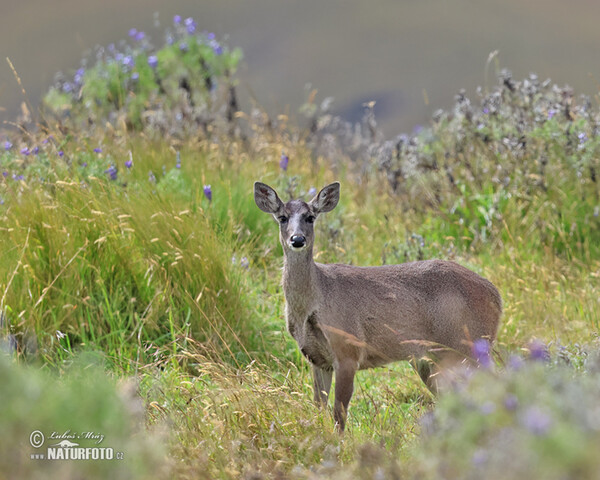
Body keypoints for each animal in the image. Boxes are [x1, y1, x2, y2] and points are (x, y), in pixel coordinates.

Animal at [253, 181, 502, 432]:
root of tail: (496, 294)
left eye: (310, 217)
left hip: (468, 344)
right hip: (430, 359)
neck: (316, 300)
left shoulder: (348, 349)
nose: (297, 239)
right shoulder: (318, 359)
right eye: (282, 217)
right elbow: (319, 407)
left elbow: (339, 414)